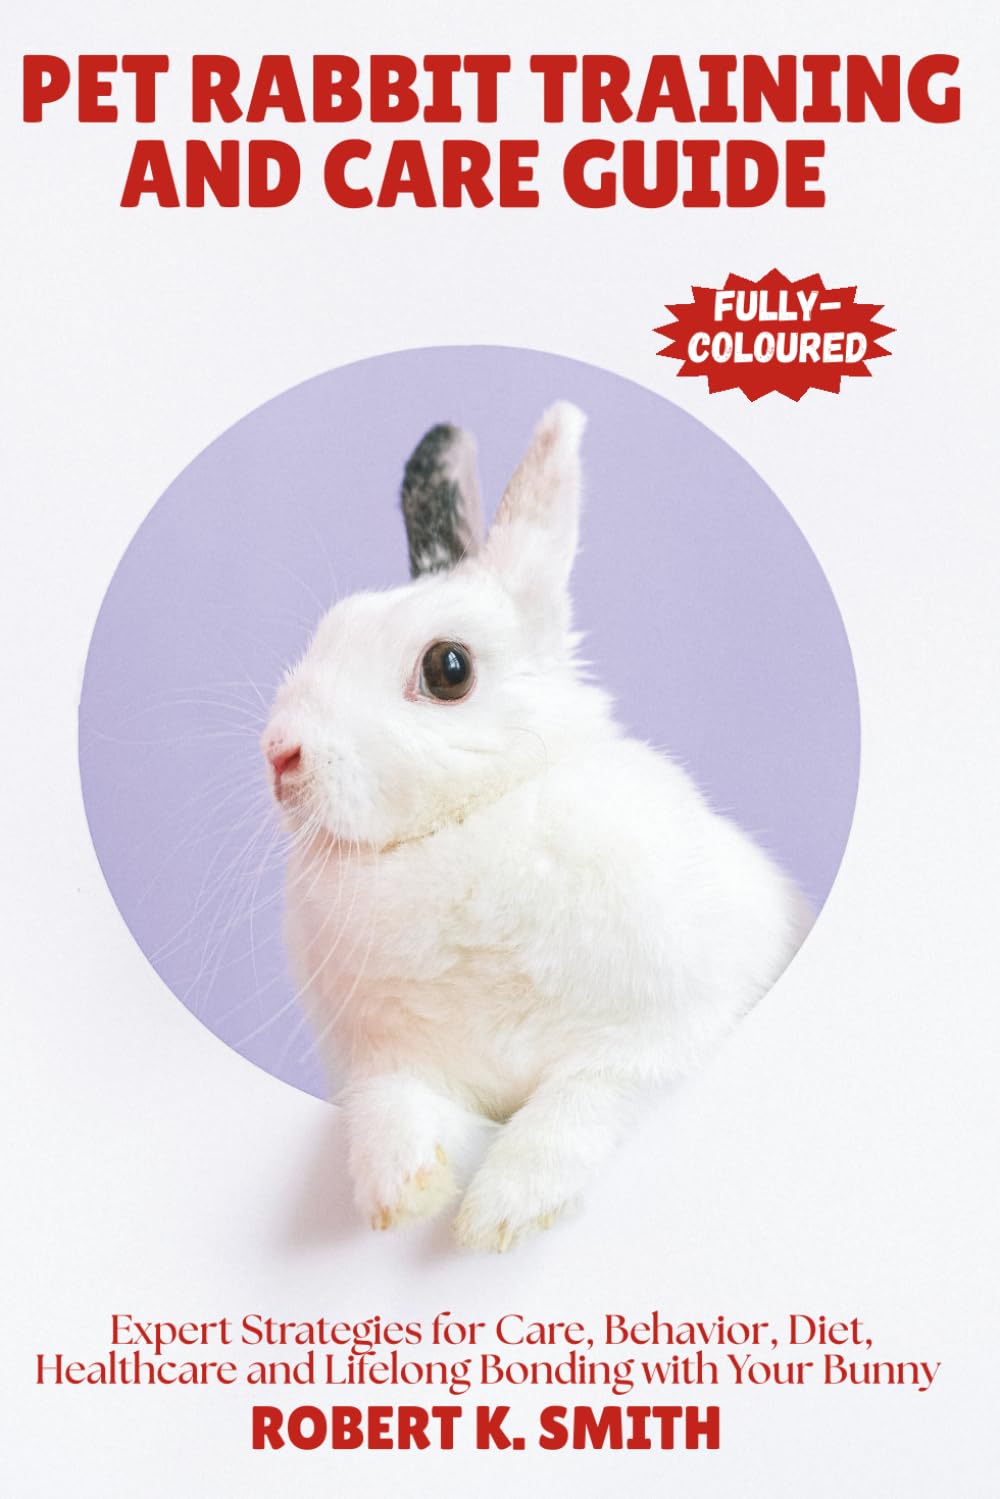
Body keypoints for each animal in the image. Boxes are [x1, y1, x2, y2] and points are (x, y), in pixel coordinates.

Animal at [262, 402, 810, 1252]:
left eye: (448, 669)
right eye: (332, 628)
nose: (279, 752)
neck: (469, 822)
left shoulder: (661, 1034)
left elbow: (577, 1105)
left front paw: (502, 1212)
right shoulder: (385, 1061)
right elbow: (393, 1108)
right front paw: (400, 1193)